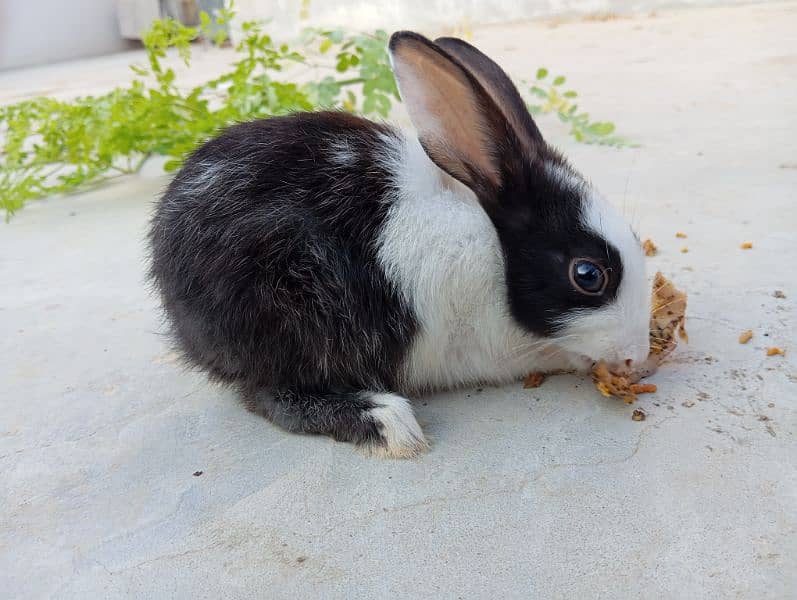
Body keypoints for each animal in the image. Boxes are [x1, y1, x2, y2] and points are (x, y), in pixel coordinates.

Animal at [148, 30, 648, 458]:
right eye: (588, 275)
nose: (636, 357)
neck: (494, 253)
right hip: (283, 312)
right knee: (270, 395)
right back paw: (384, 422)